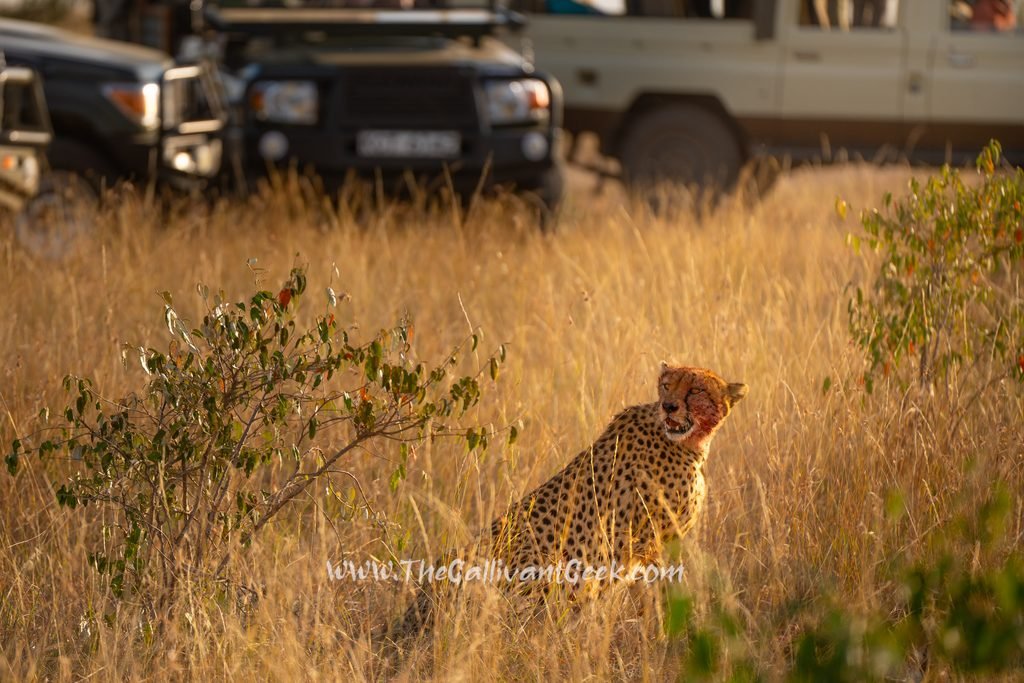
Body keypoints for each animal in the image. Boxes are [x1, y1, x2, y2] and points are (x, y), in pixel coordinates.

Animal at [384, 362, 748, 644]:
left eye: (696, 390)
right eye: (667, 385)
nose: (669, 406)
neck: (687, 442)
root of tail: (419, 604)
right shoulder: (654, 545)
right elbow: (658, 598)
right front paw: (663, 640)